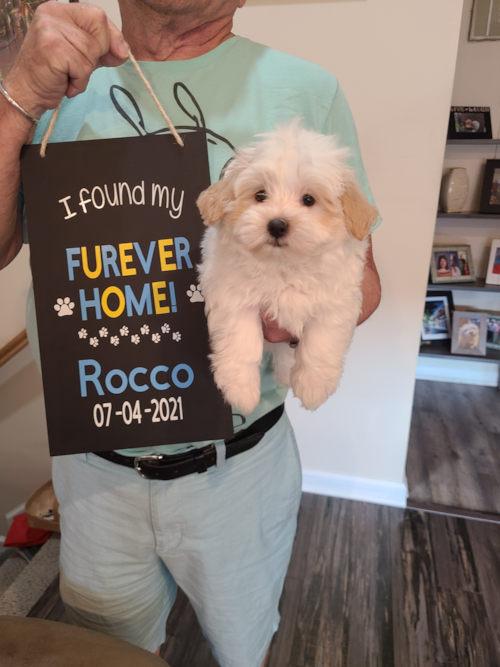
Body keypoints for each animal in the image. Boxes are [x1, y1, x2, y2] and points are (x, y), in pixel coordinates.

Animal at [197, 120, 376, 412]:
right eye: (260, 195)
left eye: (309, 200)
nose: (277, 225)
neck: (283, 265)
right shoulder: (233, 296)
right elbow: (241, 341)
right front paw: (241, 390)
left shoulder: (335, 301)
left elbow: (321, 342)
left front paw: (313, 385)